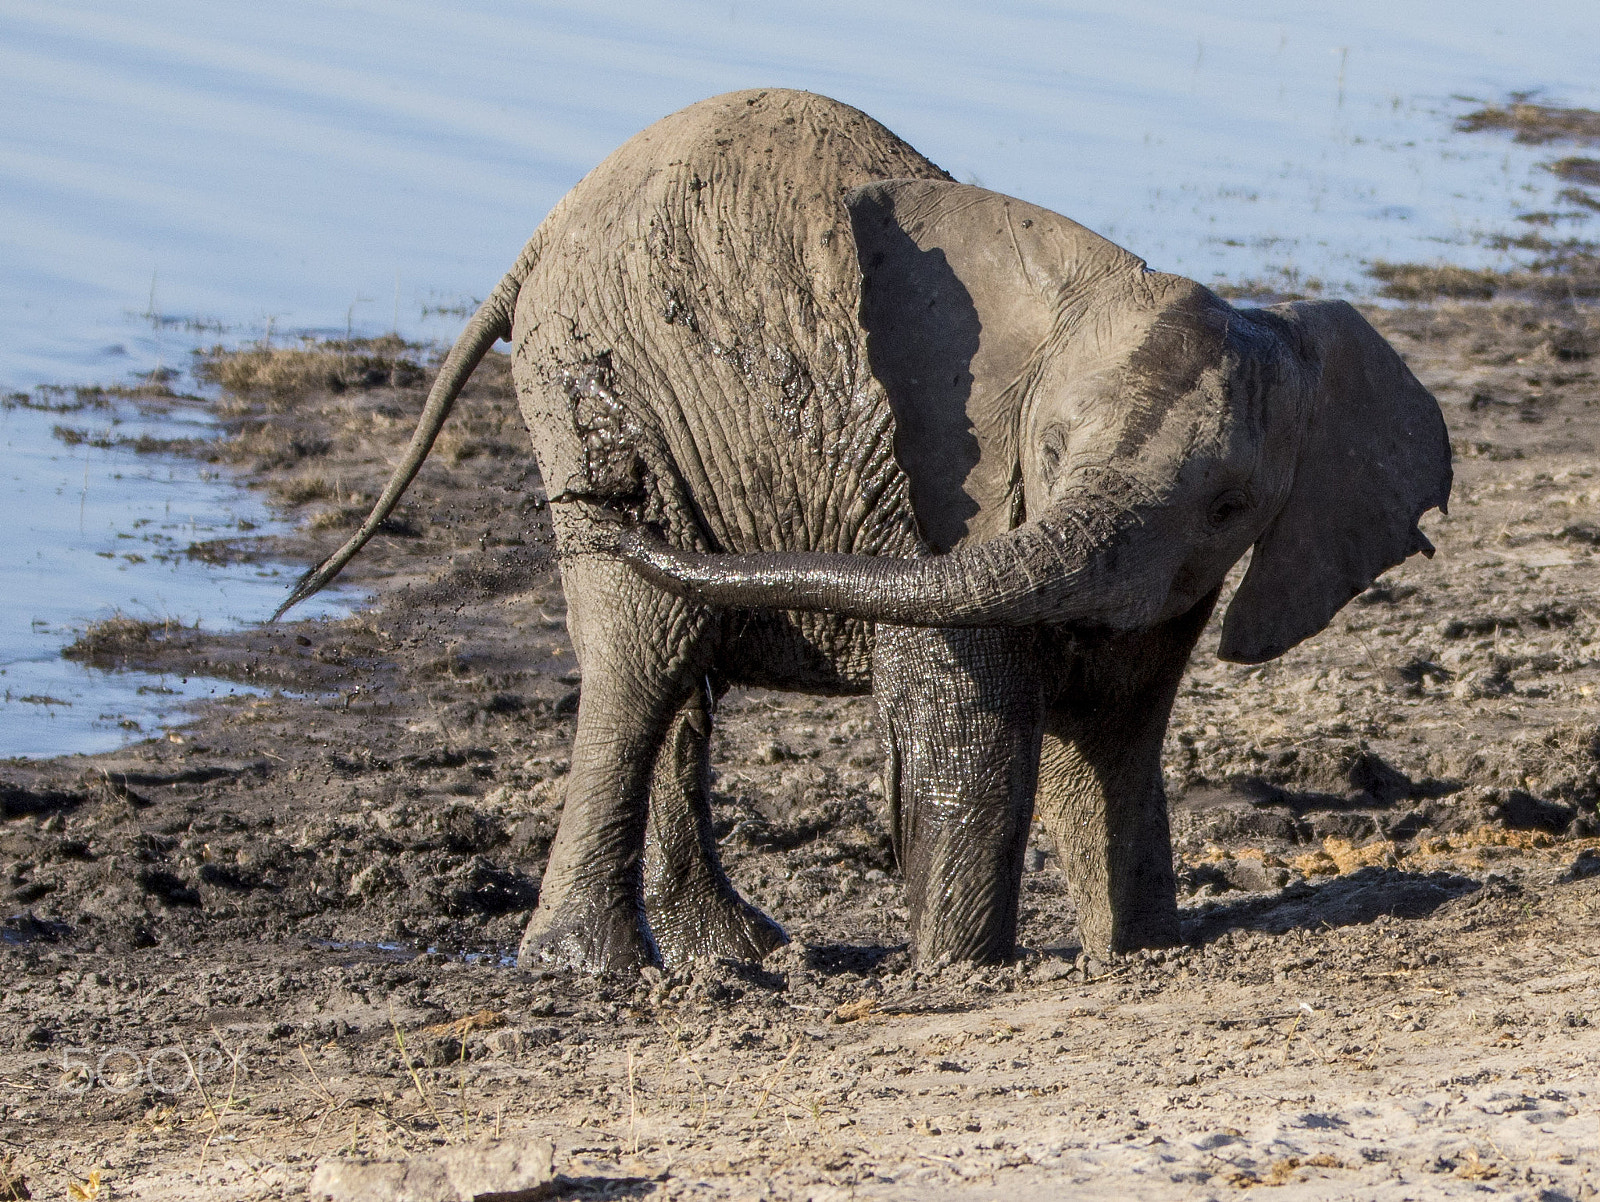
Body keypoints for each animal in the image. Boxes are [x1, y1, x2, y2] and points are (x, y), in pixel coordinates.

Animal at [281, 89, 1459, 973]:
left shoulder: (1178, 572)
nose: (608, 497)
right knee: (644, 651)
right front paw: (960, 972)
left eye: (1229, 505)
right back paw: (601, 970)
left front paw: (1134, 950)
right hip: (590, 375)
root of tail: (544, 233)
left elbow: (1114, 737)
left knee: (674, 662)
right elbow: (979, 741)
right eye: (1049, 448)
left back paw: (737, 956)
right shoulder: (945, 505)